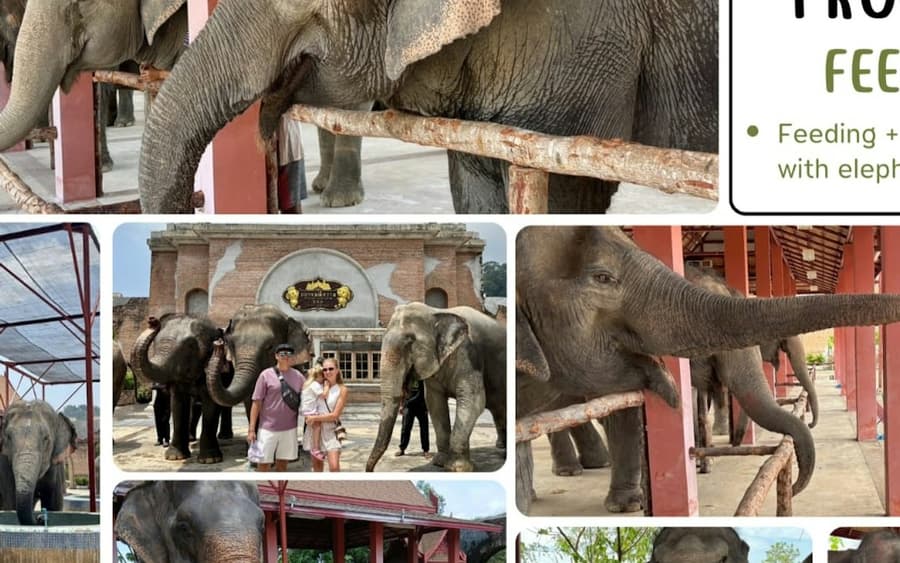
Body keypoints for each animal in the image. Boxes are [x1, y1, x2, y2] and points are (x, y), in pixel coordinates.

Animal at [131, 314, 235, 464]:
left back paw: (224, 437)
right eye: (155, 344)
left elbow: (211, 406)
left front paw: (210, 459)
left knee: (224, 405)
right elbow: (178, 405)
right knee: (195, 405)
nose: (152, 320)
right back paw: (191, 439)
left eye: (190, 346)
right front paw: (174, 457)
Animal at [366, 303, 506, 472]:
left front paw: (457, 468)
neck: (435, 312)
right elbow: (435, 403)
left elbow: (473, 401)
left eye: (409, 342)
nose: (370, 470)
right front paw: (440, 462)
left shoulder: (469, 355)